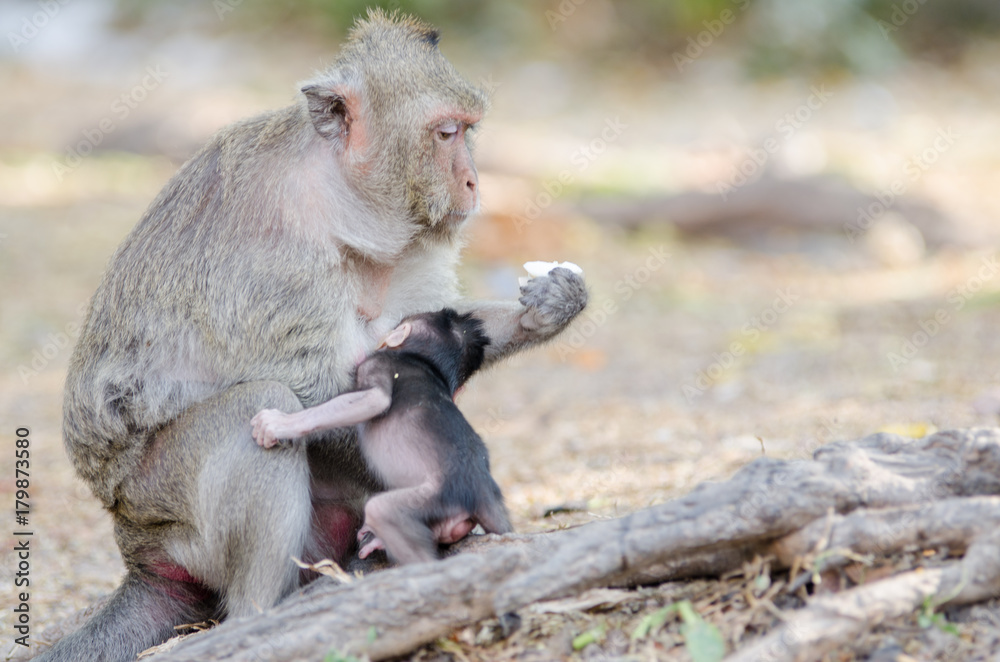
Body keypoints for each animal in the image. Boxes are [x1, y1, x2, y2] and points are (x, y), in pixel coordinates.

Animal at [254, 310, 512, 564]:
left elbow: (375, 399)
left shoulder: (376, 365)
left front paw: (280, 424)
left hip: (436, 499)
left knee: (381, 511)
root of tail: (482, 490)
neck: (423, 361)